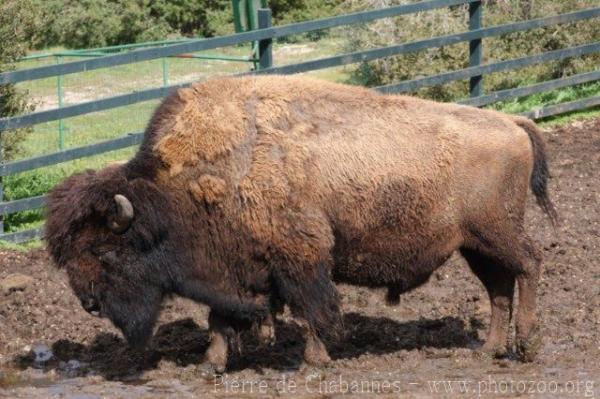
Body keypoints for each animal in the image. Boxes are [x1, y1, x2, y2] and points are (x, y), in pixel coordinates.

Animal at [44, 76, 556, 376]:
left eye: (104, 251)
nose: (89, 304)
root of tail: (512, 122)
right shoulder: (235, 268)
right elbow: (219, 318)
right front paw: (211, 365)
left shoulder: (302, 257)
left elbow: (313, 308)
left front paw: (314, 362)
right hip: (475, 245)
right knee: (499, 287)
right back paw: (488, 350)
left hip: (496, 233)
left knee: (530, 265)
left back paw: (526, 345)